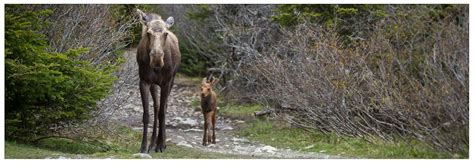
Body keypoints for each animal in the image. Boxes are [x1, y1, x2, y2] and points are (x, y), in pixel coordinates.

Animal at [137, 8, 181, 153]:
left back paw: (161, 142)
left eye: (165, 33)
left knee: (164, 107)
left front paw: (161, 145)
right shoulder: (144, 81)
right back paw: (152, 143)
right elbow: (146, 115)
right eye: (148, 33)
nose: (156, 58)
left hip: (172, 80)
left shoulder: (166, 82)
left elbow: (162, 112)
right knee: (156, 106)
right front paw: (144, 146)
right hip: (154, 84)